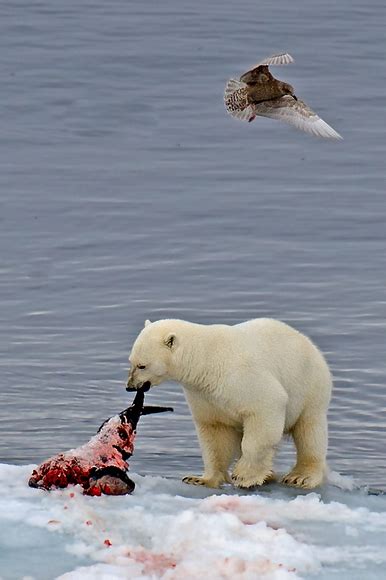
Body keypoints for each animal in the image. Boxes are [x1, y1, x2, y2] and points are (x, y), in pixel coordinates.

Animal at [126, 318, 332, 490]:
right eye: (131, 362)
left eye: (142, 365)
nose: (130, 386)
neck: (205, 360)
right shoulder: (204, 395)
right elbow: (216, 433)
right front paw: (199, 479)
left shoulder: (241, 377)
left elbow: (264, 410)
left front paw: (244, 476)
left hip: (310, 387)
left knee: (309, 432)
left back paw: (300, 477)